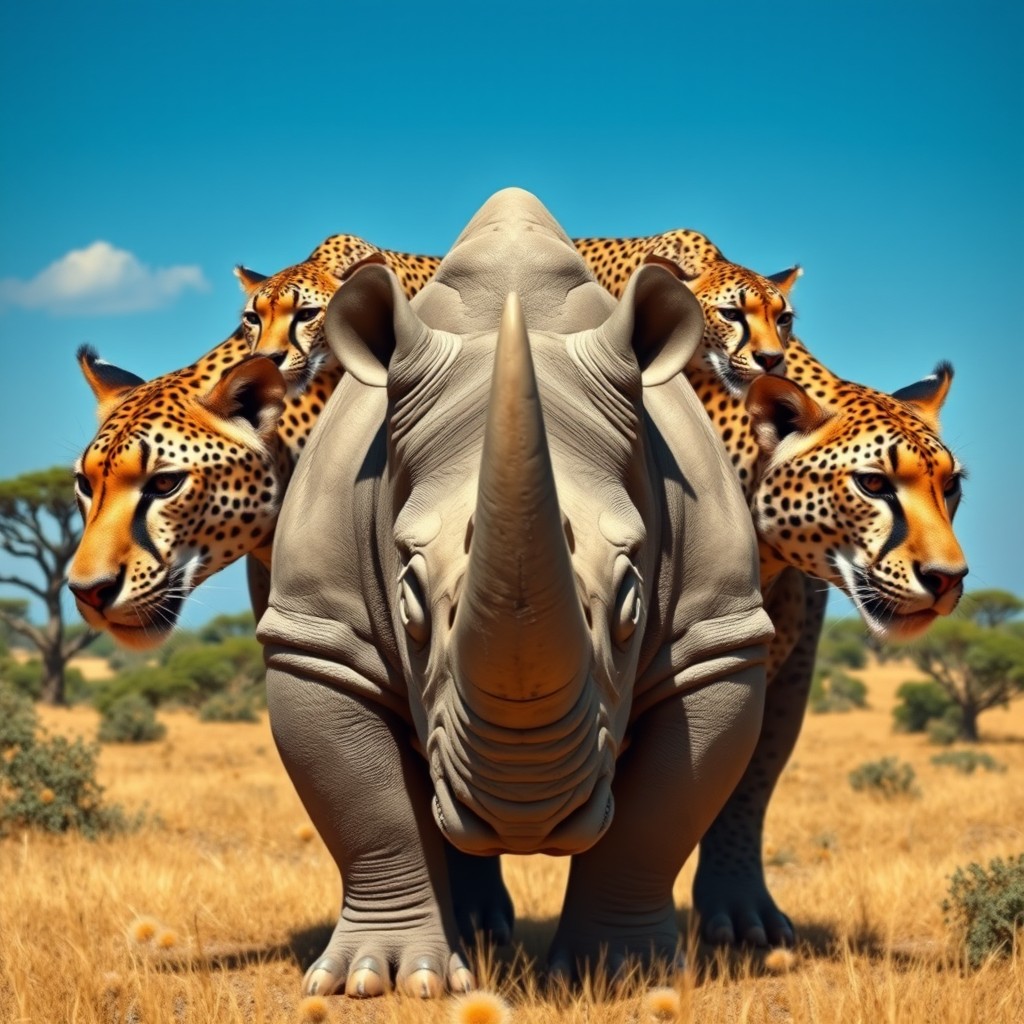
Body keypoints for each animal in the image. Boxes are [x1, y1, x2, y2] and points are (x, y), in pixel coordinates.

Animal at [257, 189, 774, 996]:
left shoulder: (718, 639)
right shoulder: (317, 638)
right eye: (408, 599)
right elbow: (366, 807)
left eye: (631, 600)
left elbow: (660, 817)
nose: (524, 821)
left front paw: (620, 975)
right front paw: (385, 982)